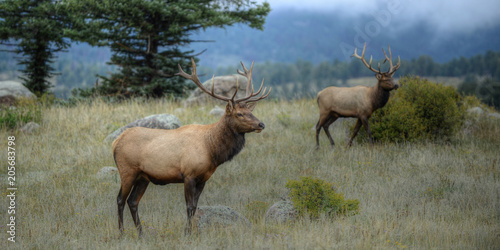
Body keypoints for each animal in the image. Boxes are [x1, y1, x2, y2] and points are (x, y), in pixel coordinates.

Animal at [112, 57, 272, 235]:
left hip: (143, 176)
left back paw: (141, 233)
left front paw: (192, 231)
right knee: (120, 199)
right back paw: (121, 232)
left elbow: (195, 207)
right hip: (127, 170)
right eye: (239, 114)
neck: (212, 151)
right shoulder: (188, 175)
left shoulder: (203, 178)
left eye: (251, 112)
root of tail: (115, 142)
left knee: (133, 201)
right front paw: (187, 233)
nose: (261, 124)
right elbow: (189, 207)